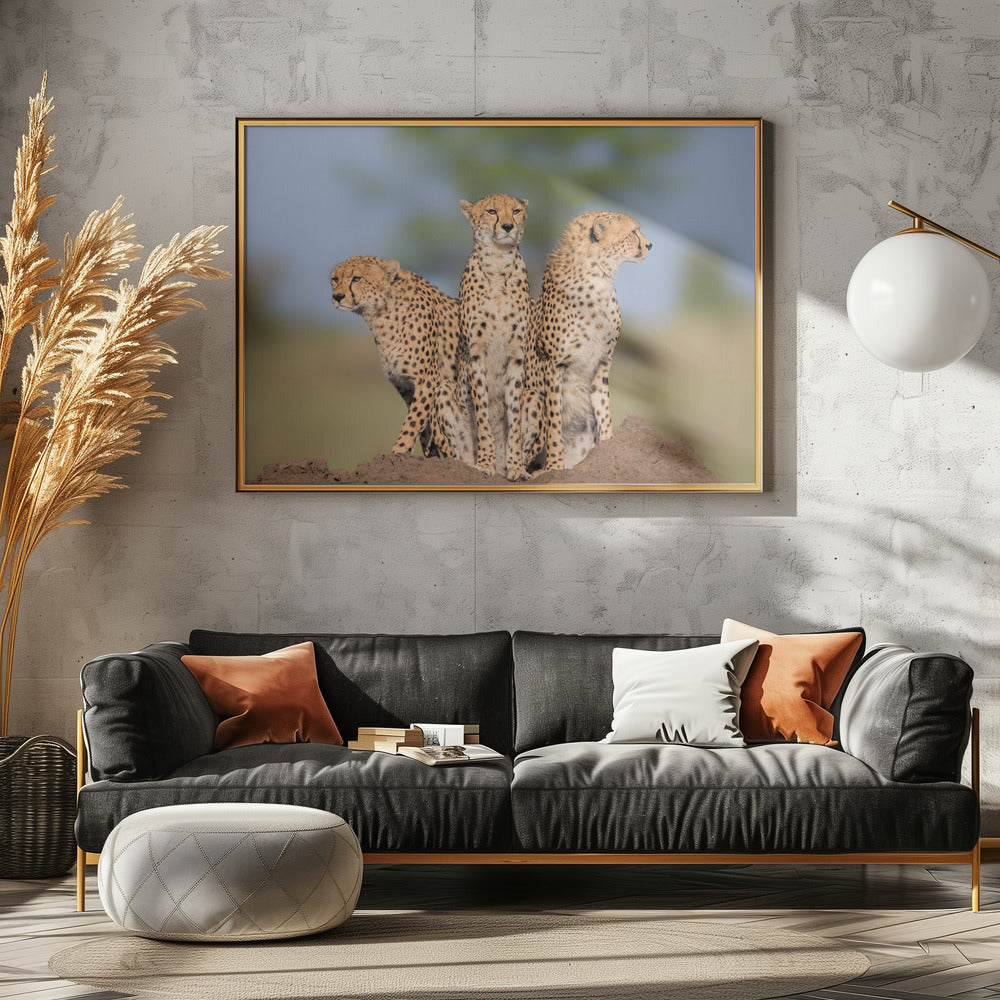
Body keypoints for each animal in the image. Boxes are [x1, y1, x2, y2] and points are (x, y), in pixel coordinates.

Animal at [330, 255, 474, 463]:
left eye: (356, 278)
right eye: (335, 279)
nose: (337, 297)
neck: (381, 313)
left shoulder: (426, 381)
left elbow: (413, 423)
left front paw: (397, 453)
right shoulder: (405, 386)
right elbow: (423, 430)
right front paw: (426, 458)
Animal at [458, 193, 533, 481]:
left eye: (516, 211)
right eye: (491, 211)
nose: (508, 226)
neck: (499, 263)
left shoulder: (517, 357)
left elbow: (515, 418)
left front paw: (516, 467)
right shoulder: (475, 355)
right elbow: (482, 413)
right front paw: (485, 463)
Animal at [534, 211, 652, 471]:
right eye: (633, 232)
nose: (650, 245)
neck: (599, 276)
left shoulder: (602, 363)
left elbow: (604, 409)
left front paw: (608, 447)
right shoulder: (553, 365)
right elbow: (554, 421)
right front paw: (554, 467)